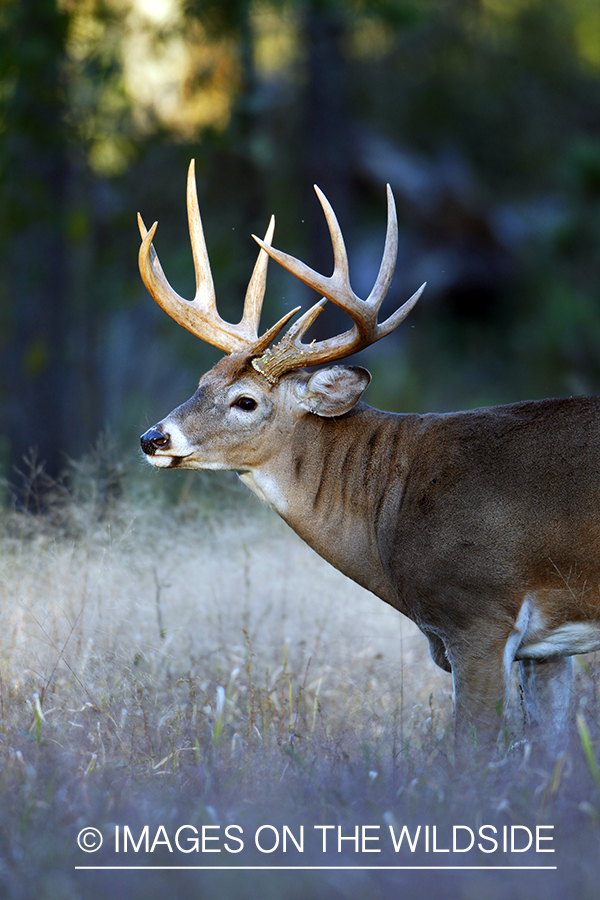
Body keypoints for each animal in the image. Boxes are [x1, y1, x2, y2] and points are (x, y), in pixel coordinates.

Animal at [138, 162, 600, 760]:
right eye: (201, 382)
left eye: (246, 401)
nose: (153, 438)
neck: (391, 502)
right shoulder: (548, 649)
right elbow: (551, 752)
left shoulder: (477, 615)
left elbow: (473, 750)